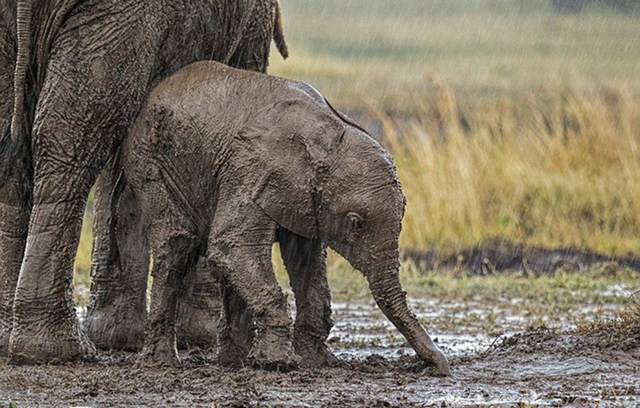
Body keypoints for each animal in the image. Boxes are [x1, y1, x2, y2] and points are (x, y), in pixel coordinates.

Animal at [126, 59, 450, 374]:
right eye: (355, 223)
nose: (437, 366)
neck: (329, 136)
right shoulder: (251, 171)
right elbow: (233, 246)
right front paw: (278, 363)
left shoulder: (307, 200)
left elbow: (305, 261)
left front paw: (315, 362)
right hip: (150, 161)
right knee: (176, 245)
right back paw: (162, 363)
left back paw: (233, 361)